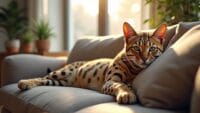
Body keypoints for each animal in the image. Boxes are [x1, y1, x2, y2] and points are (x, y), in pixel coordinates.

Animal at [18, 22, 166, 104]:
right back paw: (24, 82)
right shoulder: (110, 81)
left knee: (45, 81)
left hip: (60, 82)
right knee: (42, 77)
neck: (133, 69)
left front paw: (129, 91)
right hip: (62, 72)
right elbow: (121, 84)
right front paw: (126, 94)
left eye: (152, 49)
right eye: (136, 48)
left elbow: (127, 84)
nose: (144, 59)